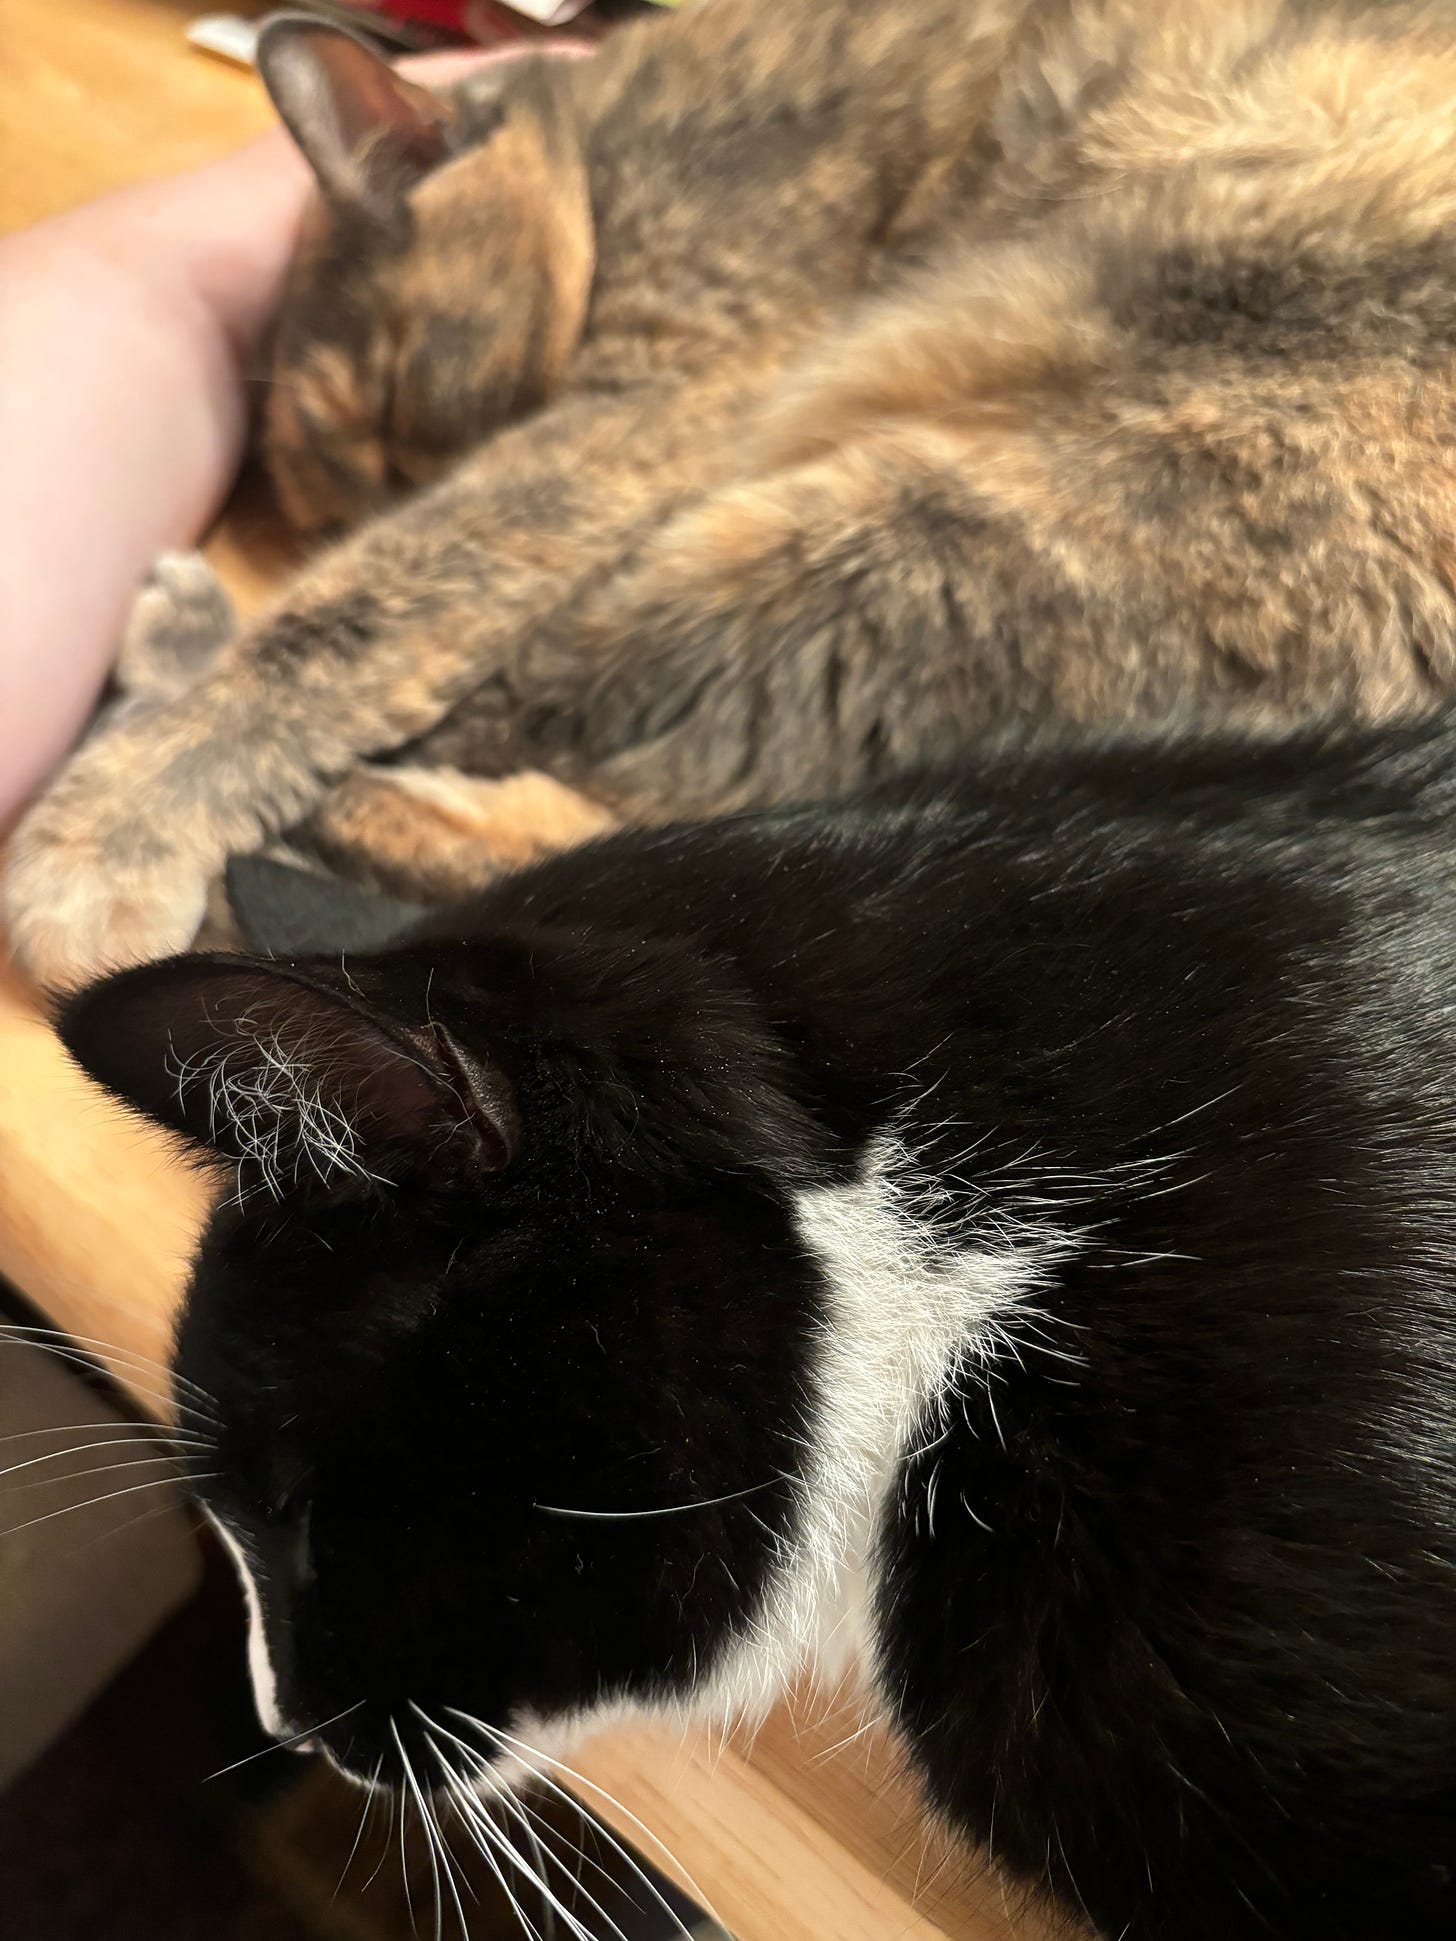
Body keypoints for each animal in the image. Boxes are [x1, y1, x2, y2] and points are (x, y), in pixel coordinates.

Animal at [8, 0, 1456, 986]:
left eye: (389, 402)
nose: (377, 489)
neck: (614, 134)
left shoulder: (659, 394)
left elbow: (360, 615)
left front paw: (97, 844)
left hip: (923, 521)